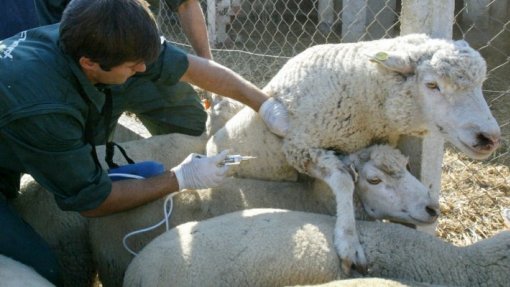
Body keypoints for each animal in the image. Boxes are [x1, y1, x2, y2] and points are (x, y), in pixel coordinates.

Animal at [205, 33, 500, 272]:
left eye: (480, 84)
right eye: (431, 85)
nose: (489, 138)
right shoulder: (300, 148)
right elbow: (345, 181)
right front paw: (348, 241)